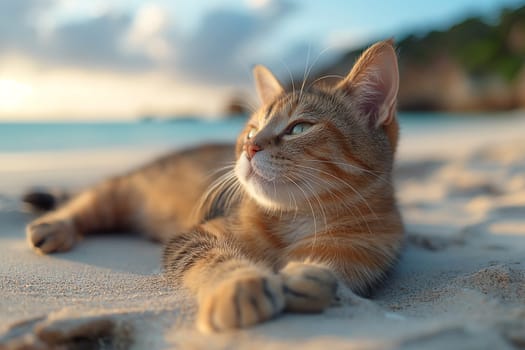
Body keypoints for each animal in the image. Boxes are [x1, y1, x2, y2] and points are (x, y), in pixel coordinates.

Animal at [24, 39, 404, 332]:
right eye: (251, 131)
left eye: (299, 128)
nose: (251, 148)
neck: (296, 217)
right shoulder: (197, 235)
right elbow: (213, 258)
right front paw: (238, 284)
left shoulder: (368, 254)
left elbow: (336, 270)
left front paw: (312, 275)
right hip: (125, 189)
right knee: (89, 199)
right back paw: (56, 225)